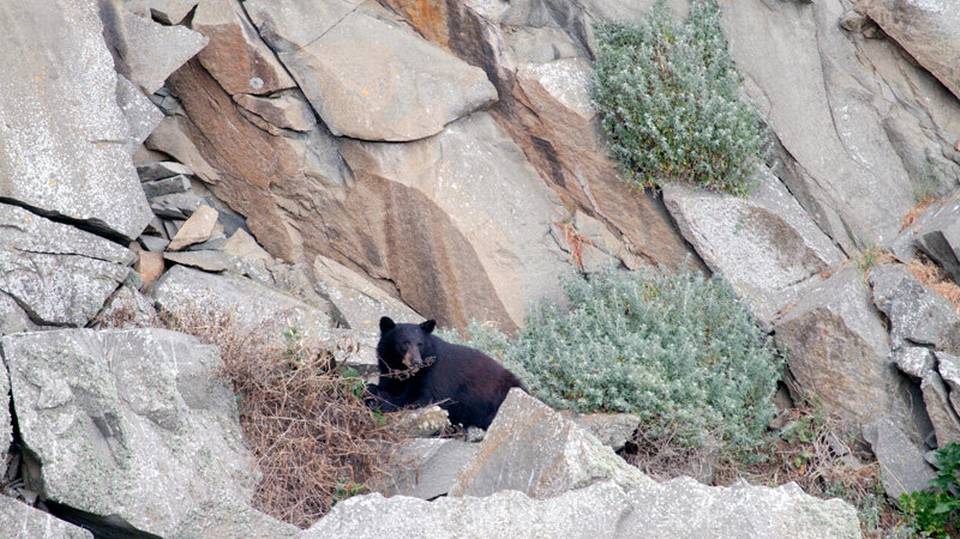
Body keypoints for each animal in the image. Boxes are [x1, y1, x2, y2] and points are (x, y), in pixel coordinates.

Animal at [366, 316, 524, 430]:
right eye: (404, 343)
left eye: (420, 344)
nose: (417, 362)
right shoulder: (388, 370)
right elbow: (388, 385)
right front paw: (375, 390)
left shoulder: (434, 374)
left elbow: (424, 399)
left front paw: (379, 399)